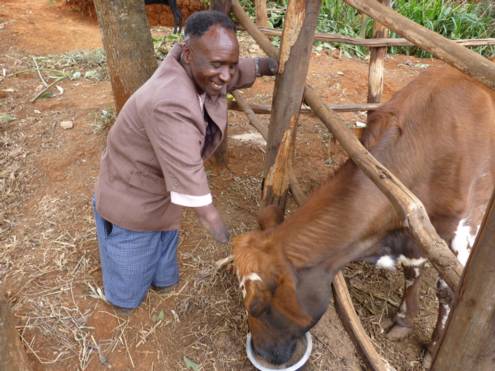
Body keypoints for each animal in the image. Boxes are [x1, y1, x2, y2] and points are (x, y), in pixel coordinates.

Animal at [232, 66, 495, 366]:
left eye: (257, 306)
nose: (262, 352)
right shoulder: (412, 234)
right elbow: (412, 271)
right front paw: (403, 322)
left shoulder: (464, 229)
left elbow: (448, 291)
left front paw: (432, 348)